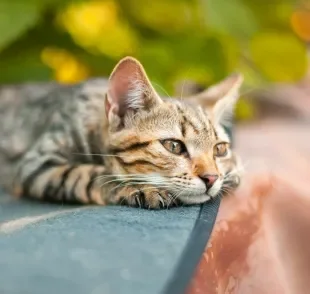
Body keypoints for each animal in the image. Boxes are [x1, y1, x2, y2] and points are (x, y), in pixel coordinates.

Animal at [0, 57, 242, 208]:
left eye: (220, 149)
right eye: (173, 146)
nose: (211, 178)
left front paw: (232, 172)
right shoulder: (36, 162)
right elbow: (90, 173)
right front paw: (138, 187)